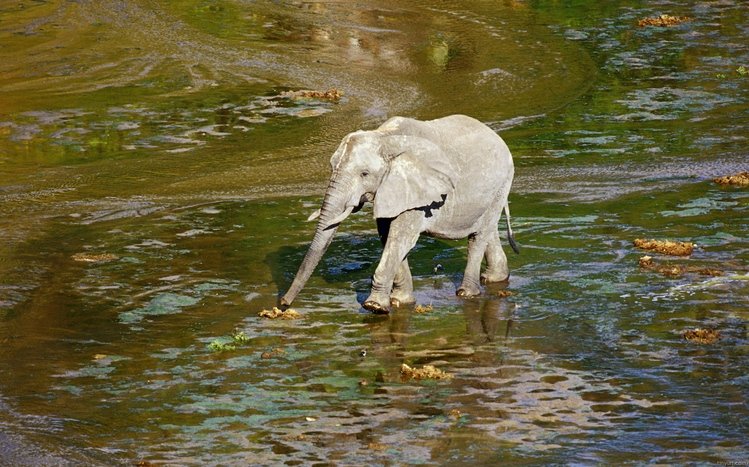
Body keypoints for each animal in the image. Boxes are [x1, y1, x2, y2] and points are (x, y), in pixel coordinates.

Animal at [279, 114, 518, 314]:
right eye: (331, 168)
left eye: (364, 174)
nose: (283, 304)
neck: (384, 138)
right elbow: (388, 237)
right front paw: (399, 302)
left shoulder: (418, 194)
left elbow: (399, 238)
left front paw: (375, 307)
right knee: (487, 230)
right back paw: (495, 278)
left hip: (502, 181)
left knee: (478, 236)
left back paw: (466, 293)